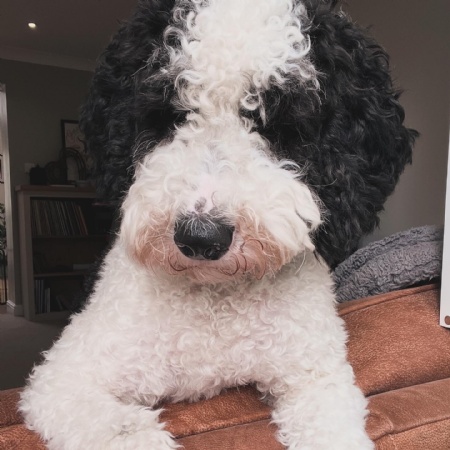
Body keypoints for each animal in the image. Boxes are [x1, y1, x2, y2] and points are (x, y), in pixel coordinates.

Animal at [19, 0, 416, 448]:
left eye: (279, 125)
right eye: (171, 116)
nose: (200, 237)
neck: (215, 299)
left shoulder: (315, 375)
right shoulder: (65, 376)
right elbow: (116, 427)